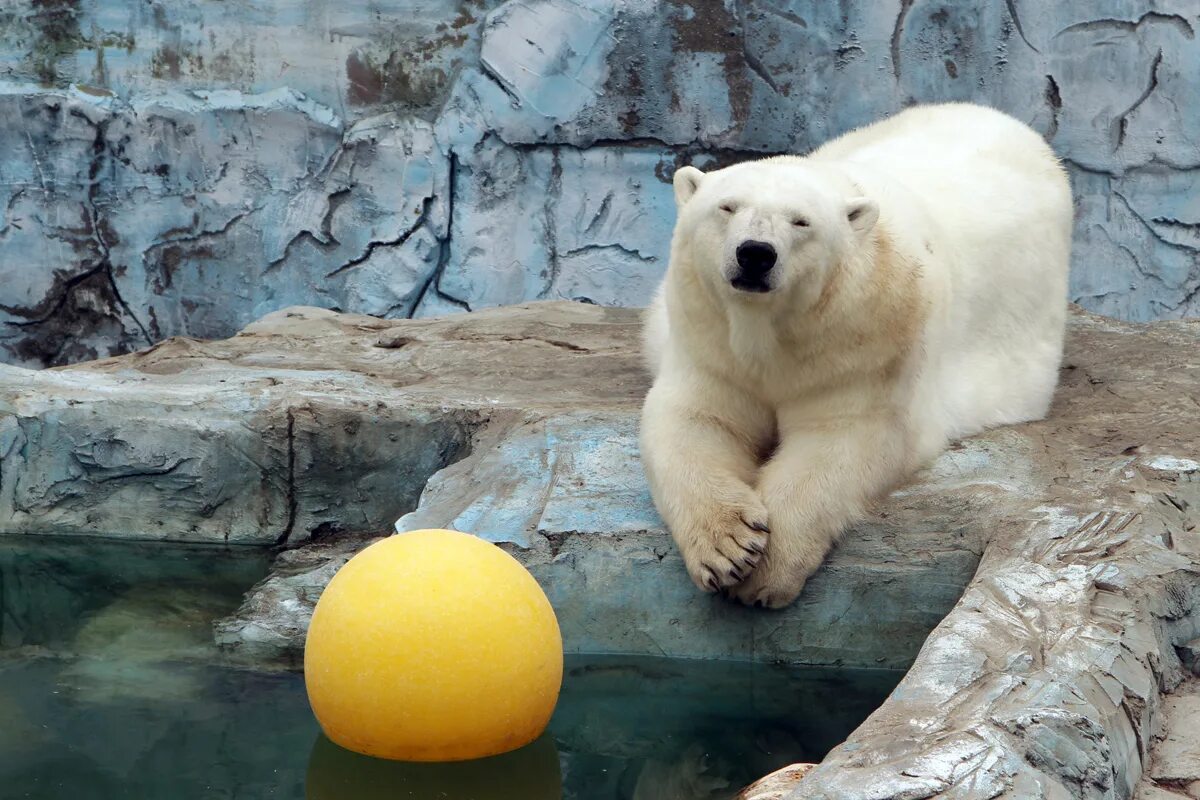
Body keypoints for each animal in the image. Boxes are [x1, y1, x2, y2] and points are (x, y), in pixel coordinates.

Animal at [643, 104, 1075, 606]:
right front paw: (728, 547)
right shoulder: (711, 342)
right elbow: (697, 418)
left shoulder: (863, 344)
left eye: (801, 222)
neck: (770, 329)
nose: (755, 254)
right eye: (727, 207)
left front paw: (767, 572)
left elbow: (843, 440)